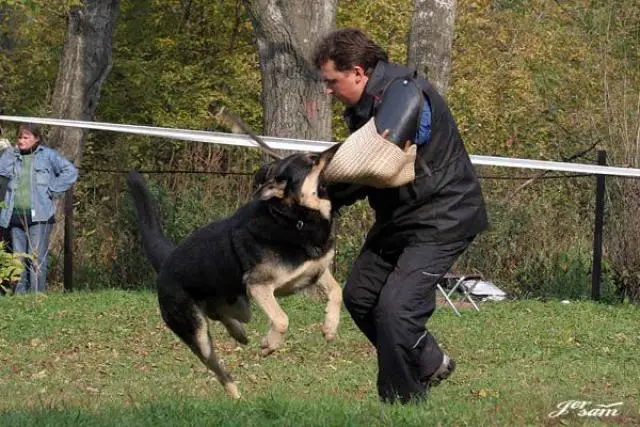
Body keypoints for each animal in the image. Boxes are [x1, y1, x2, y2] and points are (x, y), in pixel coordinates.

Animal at [127, 149, 342, 400]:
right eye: (311, 160)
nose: (336, 149)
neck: (292, 218)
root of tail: (165, 264)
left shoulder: (316, 271)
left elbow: (337, 292)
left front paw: (330, 327)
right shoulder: (258, 285)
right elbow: (282, 319)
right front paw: (270, 344)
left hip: (240, 305)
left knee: (219, 313)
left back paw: (238, 333)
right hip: (199, 335)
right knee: (217, 366)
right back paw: (234, 394)